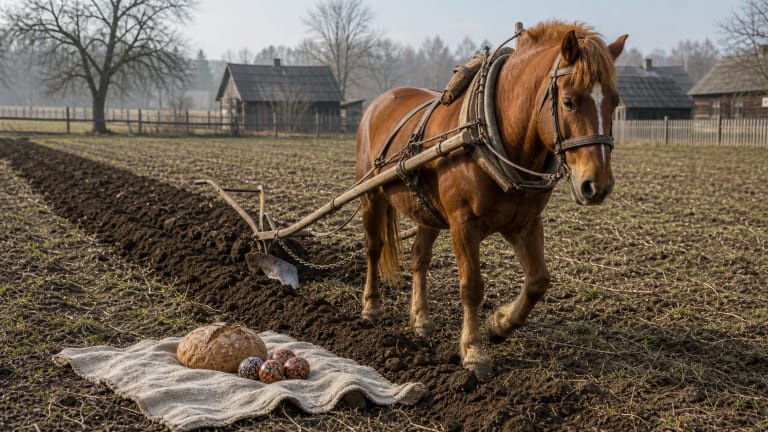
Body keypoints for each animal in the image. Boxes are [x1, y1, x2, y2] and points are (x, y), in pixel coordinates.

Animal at [354, 20, 627, 380]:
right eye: (568, 101)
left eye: (614, 102)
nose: (598, 185)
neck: (494, 136)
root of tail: (379, 102)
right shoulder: (463, 225)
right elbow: (472, 286)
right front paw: (474, 352)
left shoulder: (524, 223)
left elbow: (538, 280)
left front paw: (500, 324)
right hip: (371, 195)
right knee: (373, 248)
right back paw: (371, 307)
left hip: (426, 209)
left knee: (419, 258)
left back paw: (421, 319)